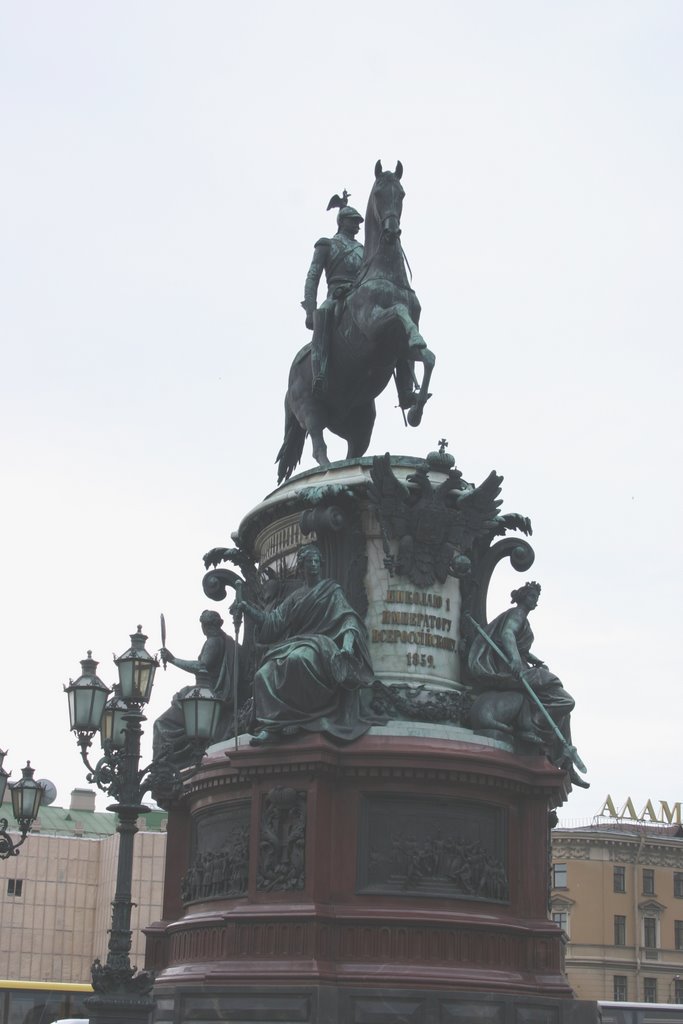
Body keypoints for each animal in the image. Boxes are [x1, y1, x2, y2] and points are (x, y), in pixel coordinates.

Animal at [274, 158, 436, 483]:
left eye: (401, 194)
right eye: (379, 193)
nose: (392, 232)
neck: (386, 275)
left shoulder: (399, 350)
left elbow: (427, 356)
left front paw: (415, 408)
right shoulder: (374, 327)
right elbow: (398, 314)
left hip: (361, 423)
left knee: (353, 453)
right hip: (310, 408)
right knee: (319, 448)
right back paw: (326, 474)